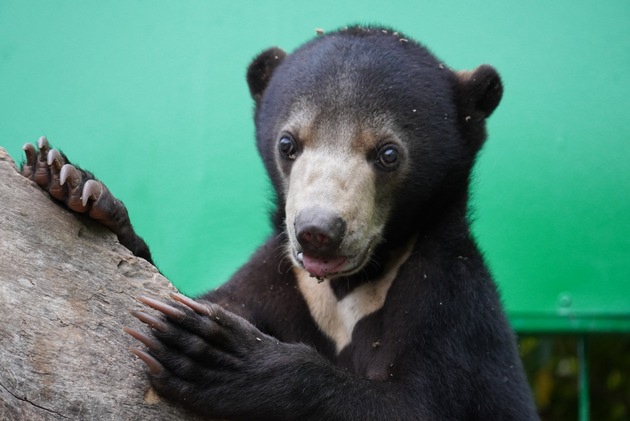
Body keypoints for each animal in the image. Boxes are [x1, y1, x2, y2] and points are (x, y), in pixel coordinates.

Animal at [22, 26, 540, 420]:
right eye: (288, 144)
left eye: (388, 154)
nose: (319, 232)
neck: (350, 287)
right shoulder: (280, 279)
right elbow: (189, 294)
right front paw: (76, 186)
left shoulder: (448, 302)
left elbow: (413, 405)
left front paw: (210, 352)